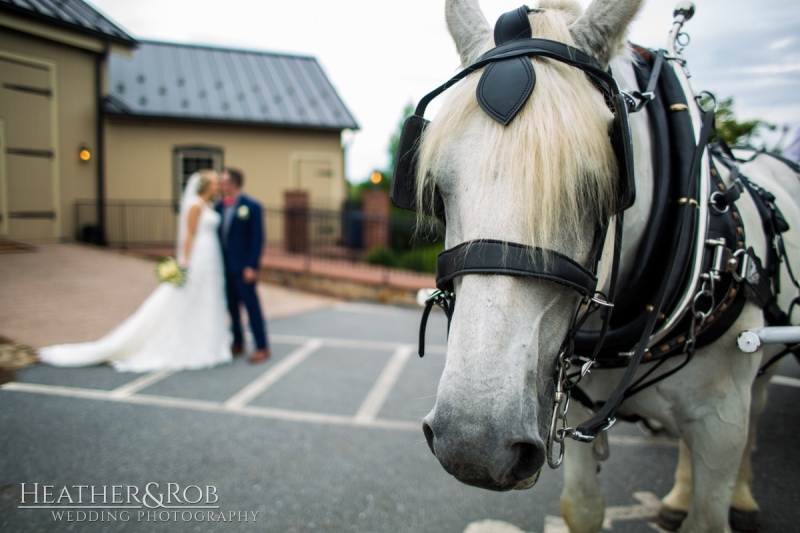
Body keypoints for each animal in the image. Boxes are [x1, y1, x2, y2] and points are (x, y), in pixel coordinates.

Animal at [418, 1, 800, 532]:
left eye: (597, 186)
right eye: (439, 188)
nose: (473, 444)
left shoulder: (721, 421)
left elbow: (708, 515)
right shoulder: (570, 413)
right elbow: (582, 506)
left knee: (758, 408)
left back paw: (741, 497)